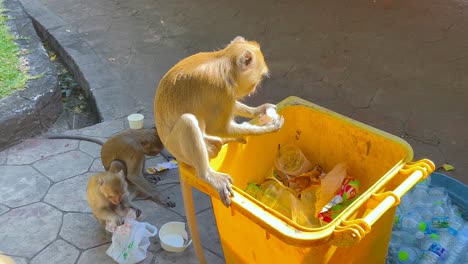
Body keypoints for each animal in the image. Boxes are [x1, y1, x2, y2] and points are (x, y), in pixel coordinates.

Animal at [46, 128, 176, 208]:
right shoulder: (135, 150)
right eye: (154, 152)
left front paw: (167, 154)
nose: (153, 154)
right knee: (117, 163)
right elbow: (133, 175)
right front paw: (161, 197)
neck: (136, 136)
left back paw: (146, 175)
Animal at [155, 36, 284, 207]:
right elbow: (217, 128)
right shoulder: (223, 90)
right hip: (180, 151)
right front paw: (268, 128)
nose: (254, 87)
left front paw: (258, 110)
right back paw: (207, 175)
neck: (223, 61)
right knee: (188, 123)